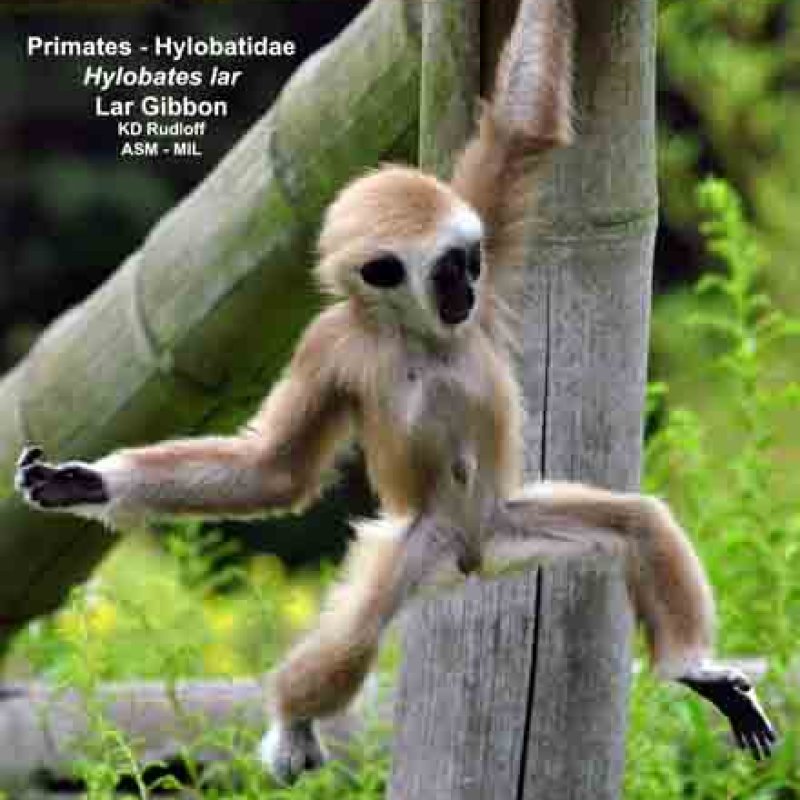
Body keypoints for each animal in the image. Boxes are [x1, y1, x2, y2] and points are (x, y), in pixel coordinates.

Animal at [14, 0, 775, 783]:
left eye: (473, 259)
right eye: (447, 269)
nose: (469, 285)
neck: (416, 333)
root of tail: (475, 552)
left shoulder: (485, 244)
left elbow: (521, 131)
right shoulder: (328, 345)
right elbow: (278, 471)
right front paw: (90, 485)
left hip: (512, 518)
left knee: (640, 523)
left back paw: (696, 670)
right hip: (421, 539)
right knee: (352, 640)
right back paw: (291, 719)